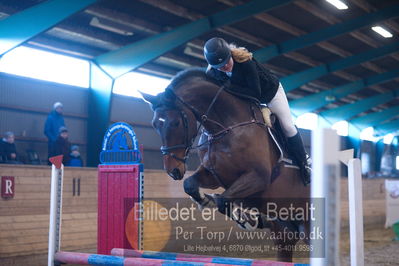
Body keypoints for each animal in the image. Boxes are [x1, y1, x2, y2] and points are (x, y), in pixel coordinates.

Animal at [141, 68, 312, 262]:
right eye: (155, 125)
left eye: (176, 123)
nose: (173, 171)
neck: (226, 126)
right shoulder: (214, 175)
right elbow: (191, 185)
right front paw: (206, 200)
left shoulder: (259, 178)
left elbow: (223, 200)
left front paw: (246, 220)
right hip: (285, 232)